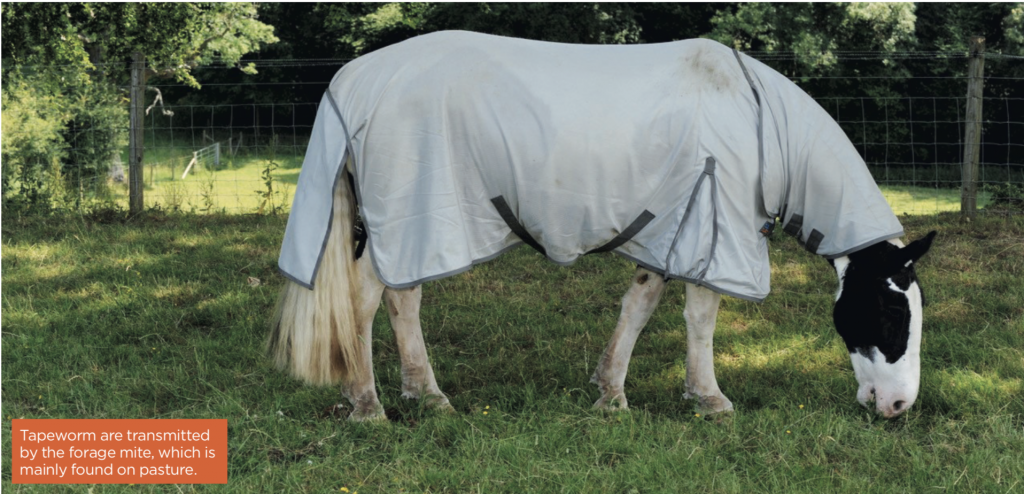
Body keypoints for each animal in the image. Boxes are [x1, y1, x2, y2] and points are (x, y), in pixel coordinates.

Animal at [266, 32, 937, 420]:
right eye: (889, 312)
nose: (898, 404)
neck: (756, 120)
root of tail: (356, 81)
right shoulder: (714, 231)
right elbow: (701, 318)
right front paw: (710, 400)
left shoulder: (673, 229)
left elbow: (638, 307)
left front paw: (610, 394)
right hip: (408, 219)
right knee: (362, 307)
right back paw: (368, 404)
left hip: (417, 228)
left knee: (403, 301)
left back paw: (427, 395)